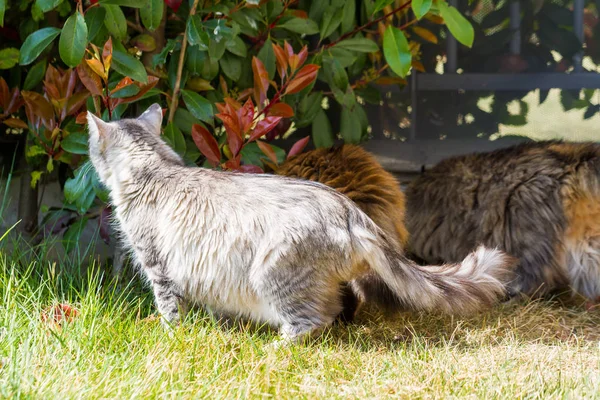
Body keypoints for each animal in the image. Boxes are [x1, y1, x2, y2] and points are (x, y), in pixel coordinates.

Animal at [86, 104, 512, 344]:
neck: (155, 169)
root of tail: (349, 211)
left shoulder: (159, 266)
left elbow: (169, 309)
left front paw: (172, 334)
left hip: (272, 271)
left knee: (313, 319)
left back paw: (275, 348)